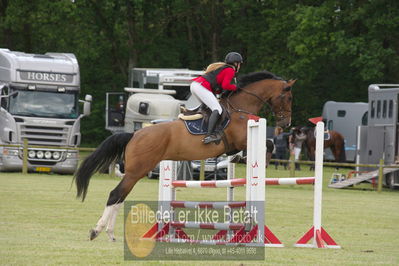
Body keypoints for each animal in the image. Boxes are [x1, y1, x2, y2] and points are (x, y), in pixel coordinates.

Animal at [75, 70, 296, 241]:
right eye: (288, 97)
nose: (286, 124)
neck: (240, 109)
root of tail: (135, 134)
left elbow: (247, 151)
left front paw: (239, 159)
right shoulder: (241, 138)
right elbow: (268, 143)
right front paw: (262, 161)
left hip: (135, 173)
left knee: (120, 197)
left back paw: (110, 234)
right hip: (136, 171)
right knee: (115, 195)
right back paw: (96, 231)